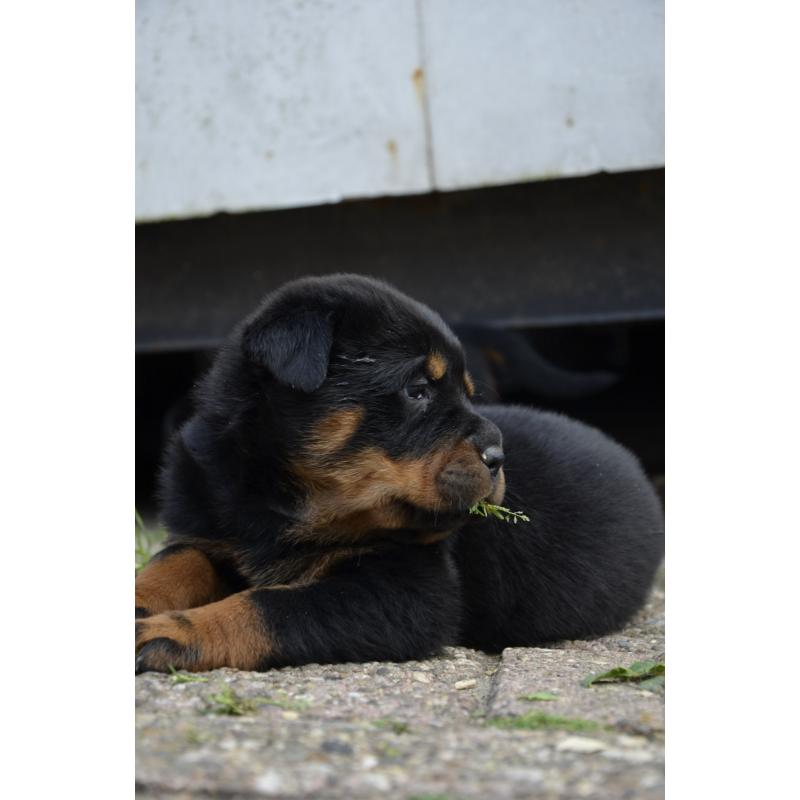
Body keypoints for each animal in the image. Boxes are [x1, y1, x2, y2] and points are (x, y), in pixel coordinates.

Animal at [136, 276, 664, 676]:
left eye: (469, 393)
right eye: (417, 390)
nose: (498, 455)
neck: (280, 501)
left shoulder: (407, 591)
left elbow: (267, 607)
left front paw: (170, 631)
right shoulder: (209, 529)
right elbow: (172, 563)